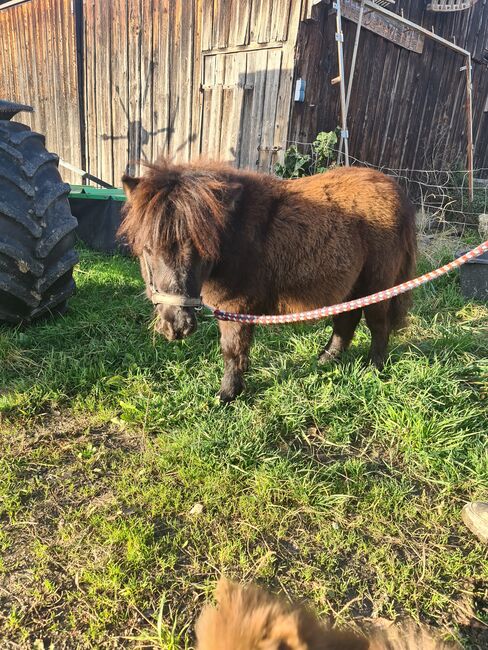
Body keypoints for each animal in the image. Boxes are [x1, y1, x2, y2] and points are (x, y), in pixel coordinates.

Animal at [117, 158, 416, 400]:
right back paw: (326, 359)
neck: (235, 234)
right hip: (351, 286)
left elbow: (231, 349)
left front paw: (227, 394)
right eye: (147, 249)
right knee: (347, 319)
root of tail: (395, 189)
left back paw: (373, 368)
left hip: (377, 284)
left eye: (202, 249)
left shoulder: (234, 307)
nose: (176, 326)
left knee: (378, 324)